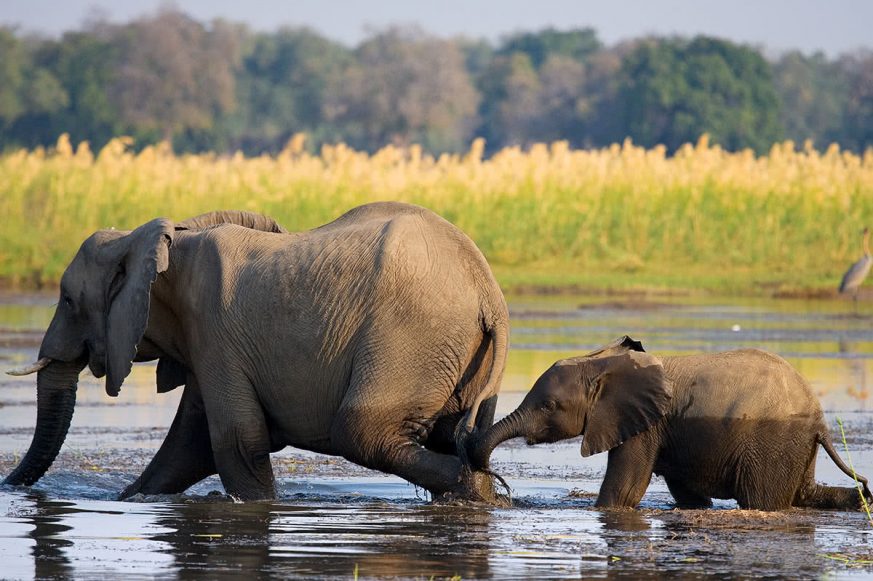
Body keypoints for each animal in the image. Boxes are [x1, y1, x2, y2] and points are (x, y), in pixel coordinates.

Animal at [6, 202, 508, 500]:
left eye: (67, 300)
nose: (8, 486)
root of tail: (488, 291)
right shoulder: (205, 342)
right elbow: (189, 445)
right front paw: (132, 499)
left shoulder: (214, 330)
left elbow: (236, 440)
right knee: (454, 437)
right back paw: (479, 491)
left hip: (410, 338)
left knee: (361, 431)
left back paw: (472, 487)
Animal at [470, 334, 872, 510]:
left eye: (549, 405)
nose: (502, 490)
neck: (601, 363)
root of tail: (820, 419)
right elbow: (689, 496)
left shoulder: (644, 426)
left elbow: (623, 491)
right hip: (795, 445)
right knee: (808, 494)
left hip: (773, 442)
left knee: (763, 500)